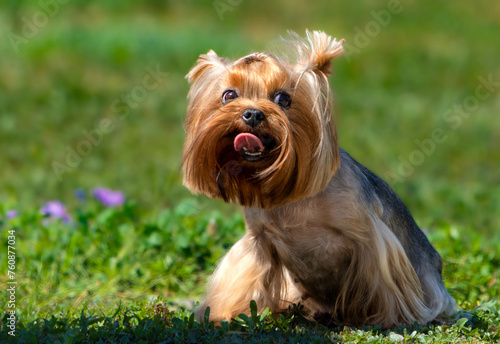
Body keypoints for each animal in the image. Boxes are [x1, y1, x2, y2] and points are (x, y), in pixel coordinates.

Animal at [182, 30, 456, 328]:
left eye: (283, 99)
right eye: (229, 95)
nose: (253, 113)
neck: (292, 196)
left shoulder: (370, 240)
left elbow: (380, 280)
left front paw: (386, 319)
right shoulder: (258, 242)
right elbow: (246, 280)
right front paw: (226, 316)